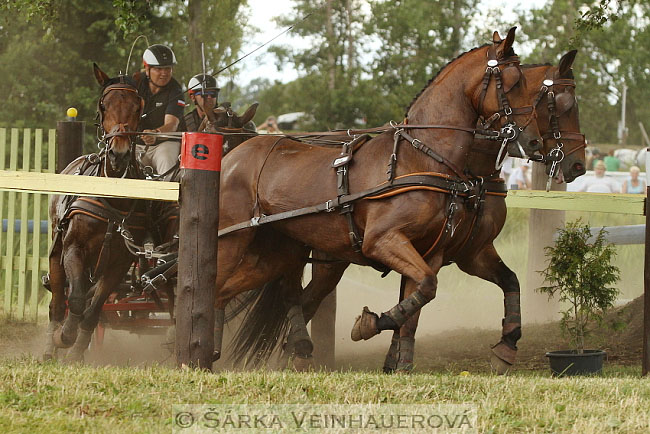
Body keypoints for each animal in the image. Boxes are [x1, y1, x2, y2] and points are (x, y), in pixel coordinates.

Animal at [43, 64, 151, 362]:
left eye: (138, 106)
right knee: (58, 303)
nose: (119, 153)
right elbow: (77, 300)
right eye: (104, 105)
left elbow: (93, 310)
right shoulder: (73, 249)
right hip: (57, 253)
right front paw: (65, 336)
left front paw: (76, 353)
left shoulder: (119, 263)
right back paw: (50, 346)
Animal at [215, 28, 548, 366]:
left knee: (238, 293)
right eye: (514, 83)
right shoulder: (382, 241)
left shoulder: (436, 252)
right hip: (234, 242)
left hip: (276, 255)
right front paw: (369, 324)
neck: (421, 158)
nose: (535, 142)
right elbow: (427, 286)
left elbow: (420, 303)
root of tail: (232, 157)